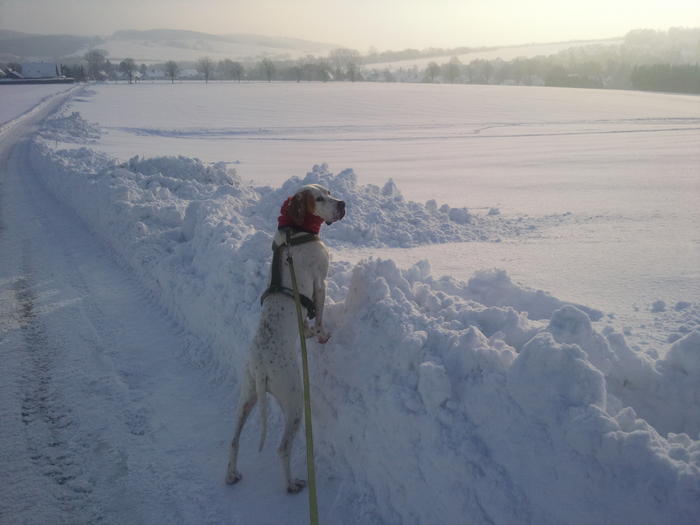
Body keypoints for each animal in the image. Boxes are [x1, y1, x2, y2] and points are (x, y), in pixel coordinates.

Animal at [227, 183, 344, 492]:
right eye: (319, 198)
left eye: (330, 192)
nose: (342, 203)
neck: (295, 229)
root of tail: (261, 367)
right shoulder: (320, 282)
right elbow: (320, 314)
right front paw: (322, 334)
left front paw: (310, 331)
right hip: (294, 402)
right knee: (282, 448)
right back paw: (292, 484)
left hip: (247, 395)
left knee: (234, 440)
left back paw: (231, 475)